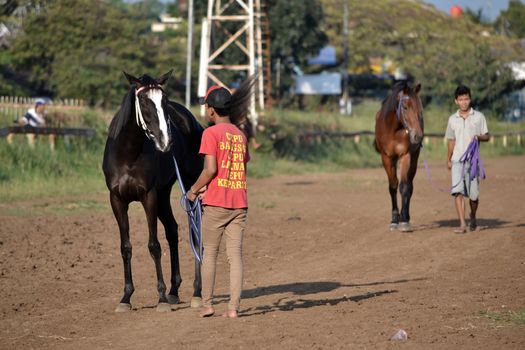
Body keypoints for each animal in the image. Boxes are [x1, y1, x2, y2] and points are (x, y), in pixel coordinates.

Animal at [102, 71, 203, 312]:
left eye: (164, 101)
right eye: (145, 102)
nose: (166, 141)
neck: (128, 154)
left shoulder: (149, 197)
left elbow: (154, 246)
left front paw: (161, 298)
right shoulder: (117, 199)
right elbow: (125, 247)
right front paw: (126, 297)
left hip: (189, 188)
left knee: (195, 234)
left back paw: (196, 292)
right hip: (164, 195)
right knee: (173, 231)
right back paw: (175, 290)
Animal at [374, 80, 424, 231]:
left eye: (420, 108)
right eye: (405, 107)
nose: (418, 136)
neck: (392, 129)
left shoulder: (405, 155)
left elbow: (404, 187)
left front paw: (403, 221)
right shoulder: (386, 158)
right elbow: (393, 186)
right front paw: (394, 220)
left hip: (414, 158)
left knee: (410, 185)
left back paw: (406, 216)